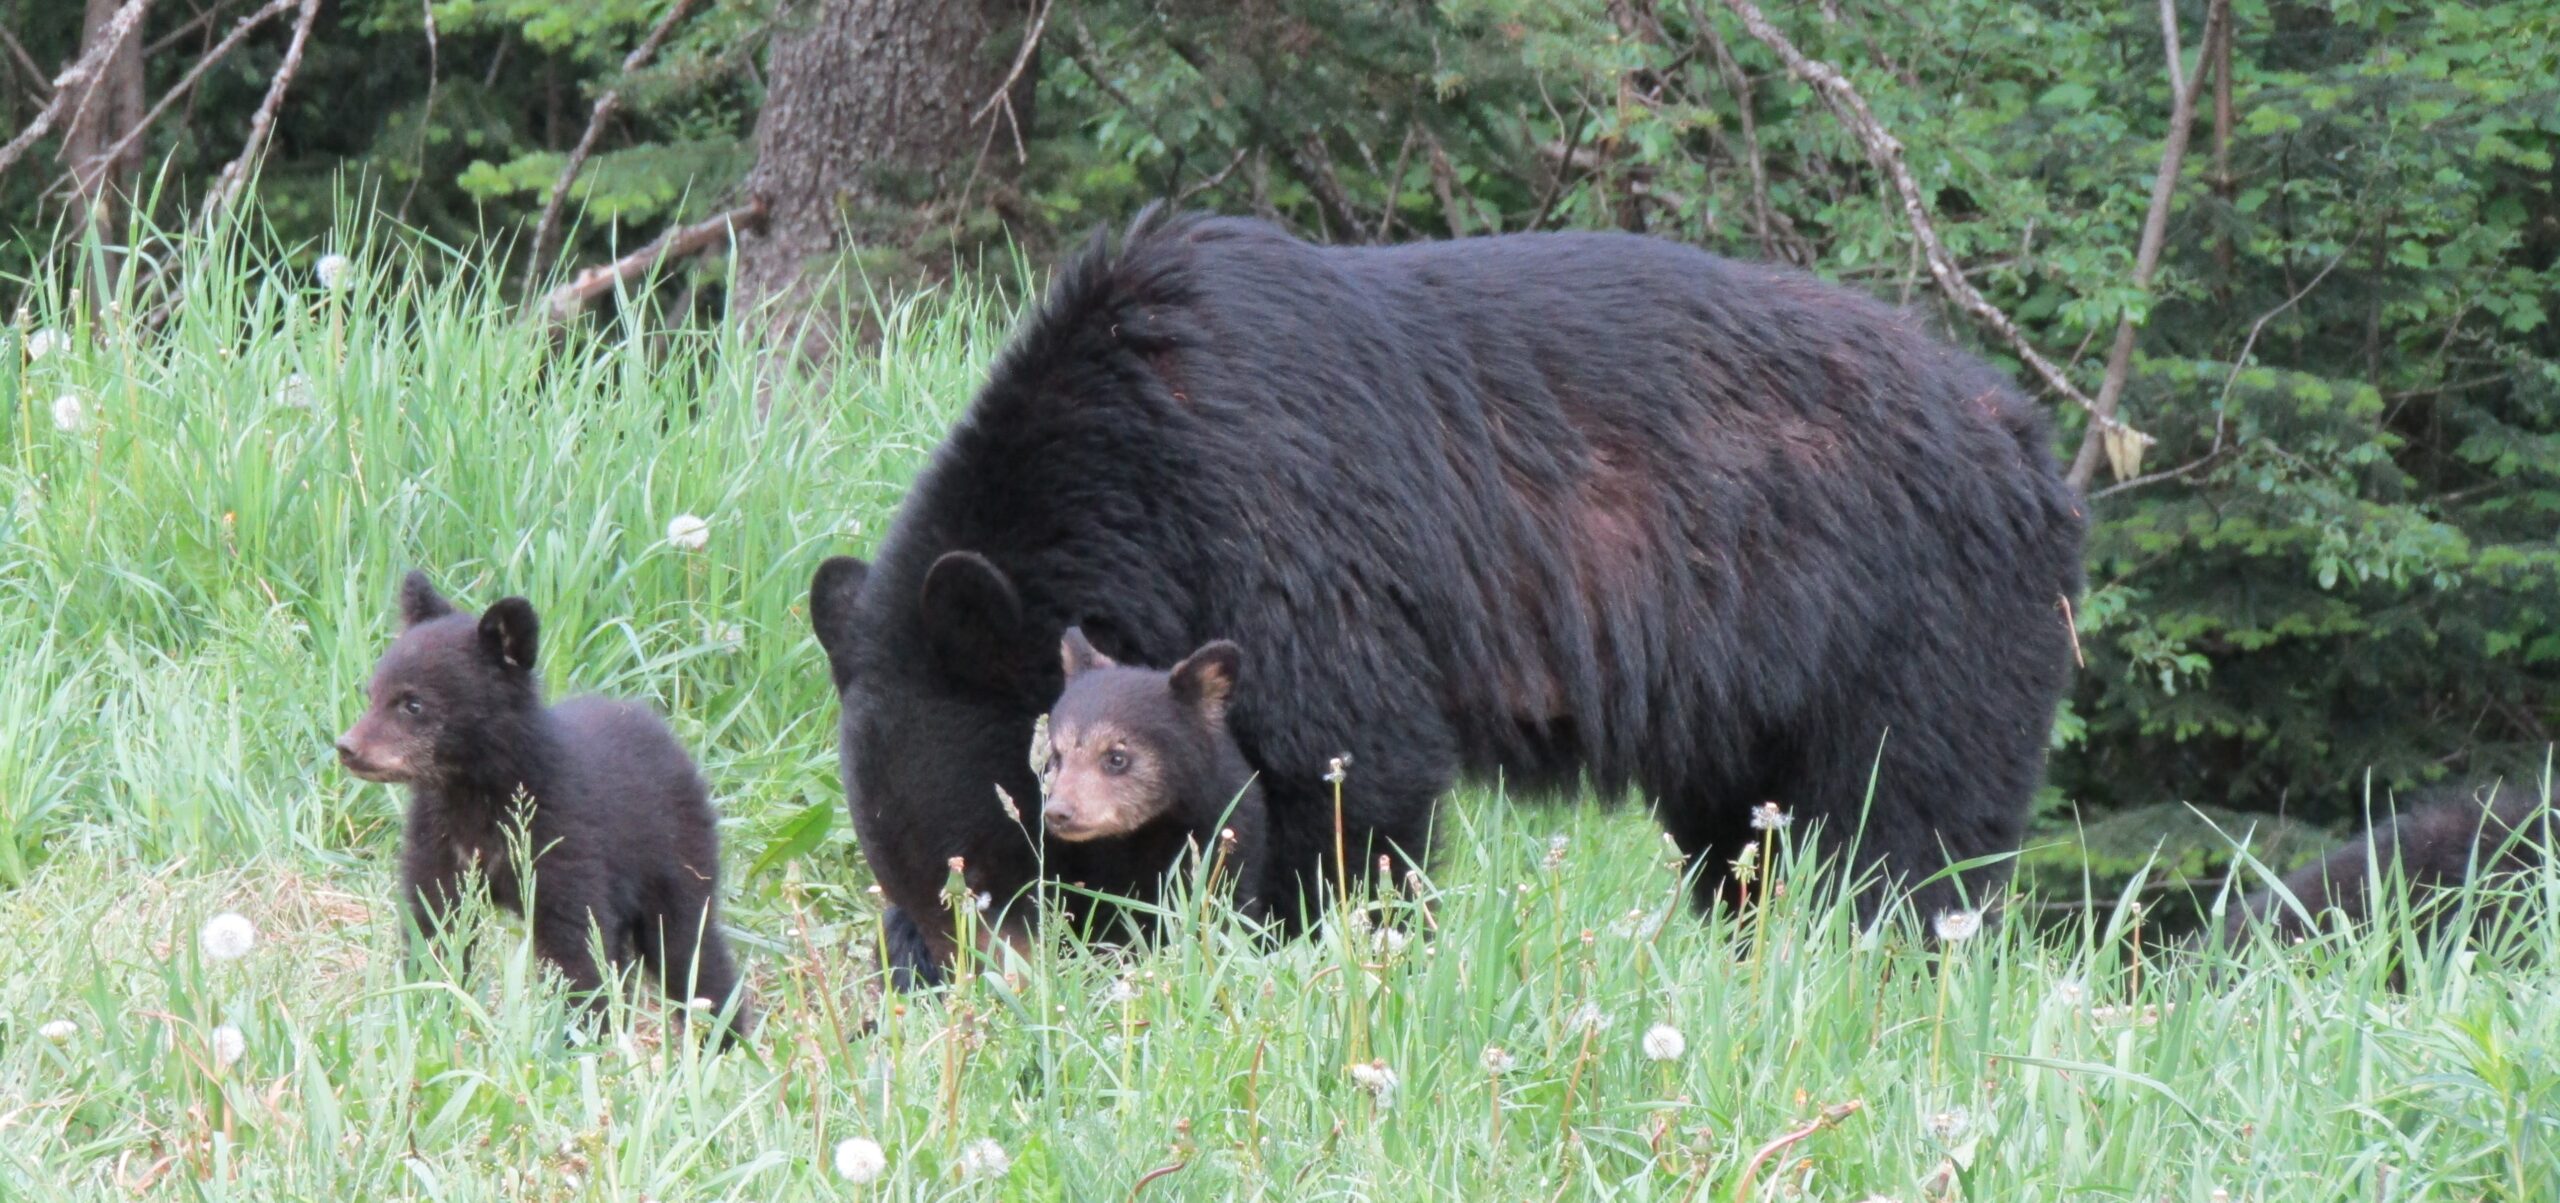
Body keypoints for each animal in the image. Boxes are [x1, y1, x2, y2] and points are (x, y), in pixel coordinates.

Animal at [337, 573, 747, 1044]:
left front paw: (581, 1037)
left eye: (413, 703)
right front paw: (425, 1010)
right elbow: (433, 926)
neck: (475, 796)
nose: (347, 747)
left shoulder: (561, 839)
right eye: (371, 693)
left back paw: (725, 1038)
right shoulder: (437, 844)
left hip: (676, 865)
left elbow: (576, 946)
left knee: (691, 951)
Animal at [808, 208, 2088, 977]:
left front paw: (1317, 948)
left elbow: (1350, 771)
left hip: (1915, 618)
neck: (1134, 460)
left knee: (1908, 829)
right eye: (926, 879)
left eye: (986, 870)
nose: (994, 984)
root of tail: (2030, 440)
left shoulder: (1286, 530)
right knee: (1748, 842)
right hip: (1755, 700)